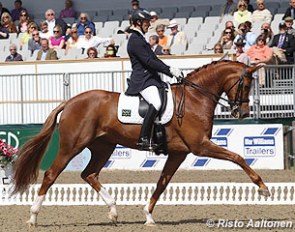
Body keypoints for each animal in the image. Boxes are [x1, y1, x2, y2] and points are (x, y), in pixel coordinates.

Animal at [12, 59, 270, 227]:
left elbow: (162, 183)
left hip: (103, 147)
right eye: (246, 84)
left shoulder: (179, 153)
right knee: (51, 174)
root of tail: (71, 101)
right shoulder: (200, 146)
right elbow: (237, 157)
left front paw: (148, 216)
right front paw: (263, 188)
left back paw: (113, 211)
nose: (242, 113)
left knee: (89, 174)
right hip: (72, 146)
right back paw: (33, 216)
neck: (195, 98)